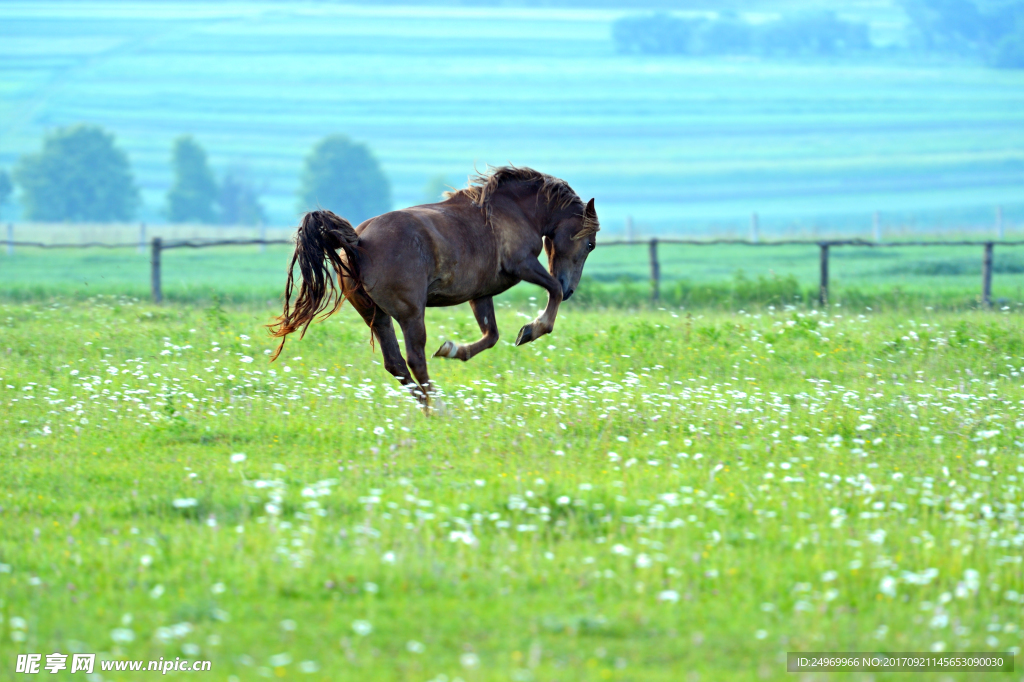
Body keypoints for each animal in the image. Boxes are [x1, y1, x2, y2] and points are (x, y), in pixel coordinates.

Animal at [268, 166, 598, 401]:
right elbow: (551, 292)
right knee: (415, 360)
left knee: (396, 363)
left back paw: (430, 407)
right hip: (411, 314)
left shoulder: (480, 293)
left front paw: (453, 350)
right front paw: (531, 330)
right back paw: (438, 406)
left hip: (378, 316)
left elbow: (491, 335)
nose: (572, 289)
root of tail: (359, 242)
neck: (514, 210)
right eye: (591, 244)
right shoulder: (522, 264)